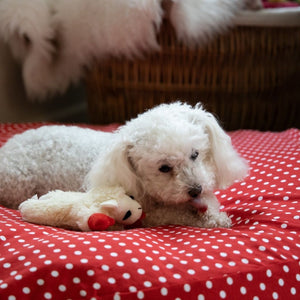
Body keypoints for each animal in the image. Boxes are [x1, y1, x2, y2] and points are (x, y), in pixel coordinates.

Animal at [0, 102, 248, 227]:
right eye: (164, 168)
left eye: (195, 154)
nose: (196, 189)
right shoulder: (152, 214)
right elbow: (176, 215)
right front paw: (213, 221)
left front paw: (214, 214)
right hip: (18, 183)